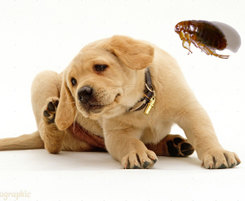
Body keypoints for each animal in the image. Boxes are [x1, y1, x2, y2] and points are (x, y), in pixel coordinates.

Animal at [0, 35, 240, 169]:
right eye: (73, 82)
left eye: (100, 67)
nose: (82, 94)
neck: (142, 103)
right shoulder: (116, 133)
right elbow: (130, 142)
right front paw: (137, 153)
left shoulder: (190, 110)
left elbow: (203, 133)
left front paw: (217, 153)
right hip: (44, 77)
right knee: (51, 143)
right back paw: (51, 116)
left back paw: (174, 144)